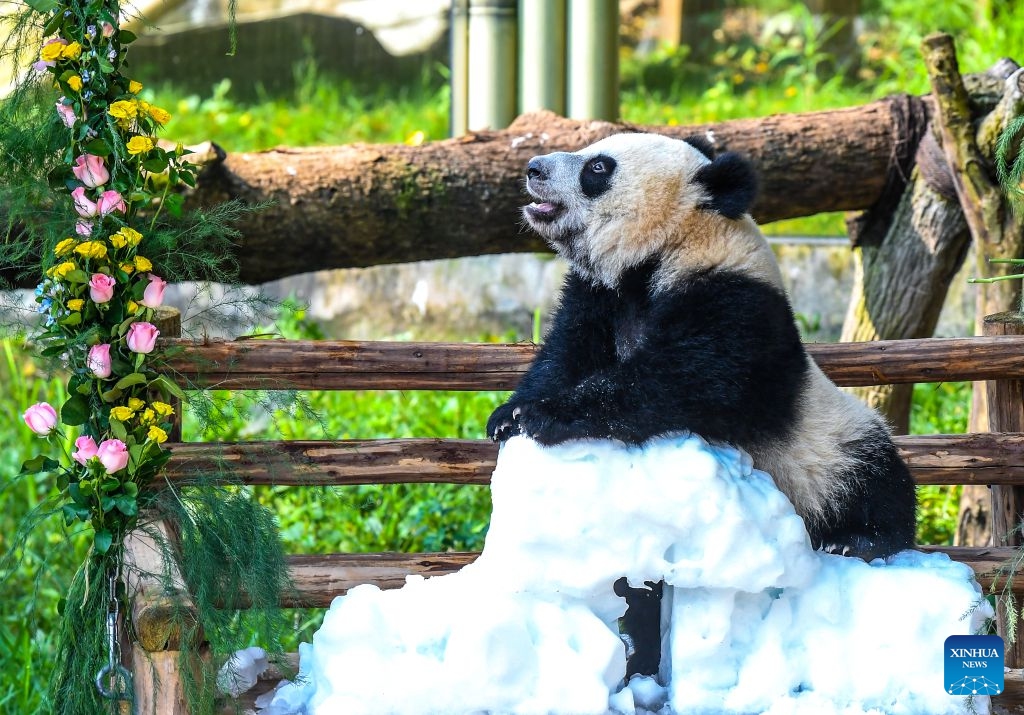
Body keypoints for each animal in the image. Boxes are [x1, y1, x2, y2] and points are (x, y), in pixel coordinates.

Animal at [487, 131, 917, 562]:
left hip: (834, 442)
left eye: (598, 167)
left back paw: (856, 539)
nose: (534, 168)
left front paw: (542, 414)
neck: (673, 244)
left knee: (877, 479)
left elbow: (686, 381)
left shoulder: (734, 301)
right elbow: (569, 351)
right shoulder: (601, 295)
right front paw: (509, 414)